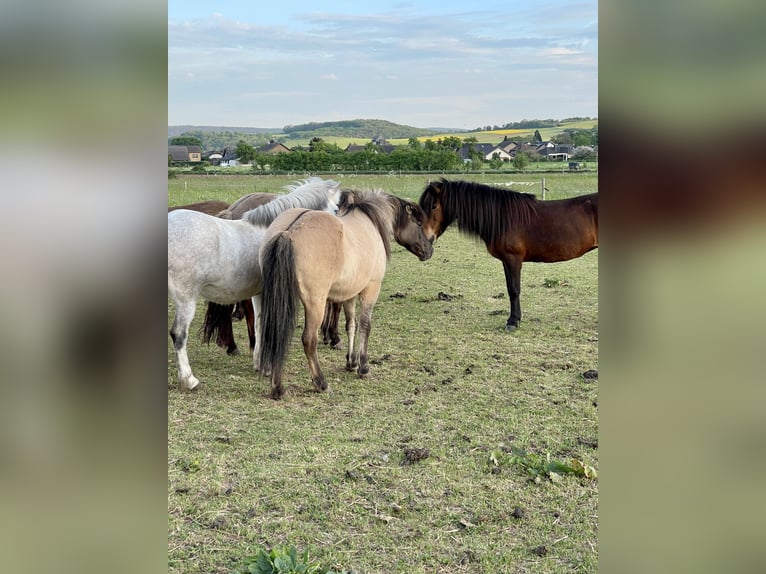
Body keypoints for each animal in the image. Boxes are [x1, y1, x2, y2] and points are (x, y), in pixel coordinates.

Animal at [168, 177, 342, 391]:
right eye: (336, 209)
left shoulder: (259, 293)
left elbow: (259, 324)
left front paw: (260, 363)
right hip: (186, 299)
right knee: (179, 335)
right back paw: (189, 379)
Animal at [258, 189, 434, 400]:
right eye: (418, 223)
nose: (429, 250)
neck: (370, 222)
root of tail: (288, 232)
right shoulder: (370, 289)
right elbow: (365, 325)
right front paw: (363, 367)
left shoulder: (349, 294)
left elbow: (351, 325)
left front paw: (352, 362)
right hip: (315, 304)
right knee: (309, 340)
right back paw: (321, 383)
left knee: (275, 334)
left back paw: (277, 386)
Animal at [418, 178, 598, 331]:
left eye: (434, 206)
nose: (426, 239)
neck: (503, 218)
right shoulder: (506, 261)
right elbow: (509, 288)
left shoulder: (513, 259)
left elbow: (514, 289)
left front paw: (513, 322)